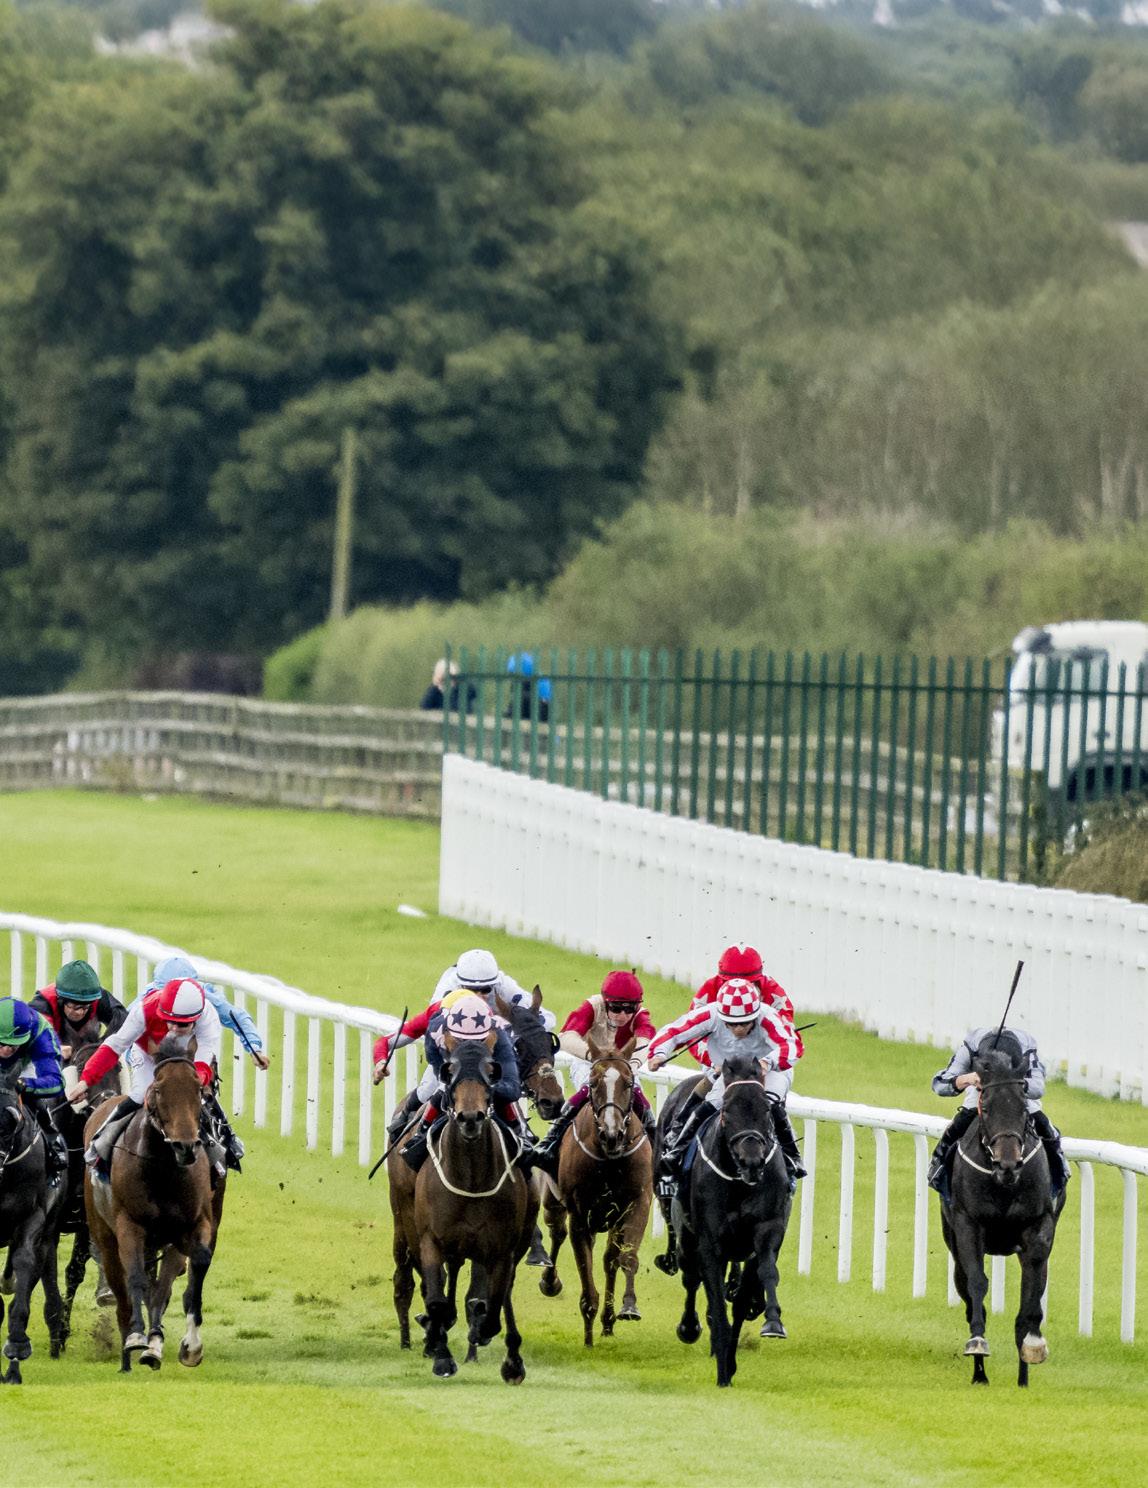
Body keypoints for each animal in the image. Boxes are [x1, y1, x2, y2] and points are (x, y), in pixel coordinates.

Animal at [83, 1034, 225, 1373]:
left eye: (197, 1089)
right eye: (158, 1089)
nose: (185, 1146)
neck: (164, 1168)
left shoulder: (192, 1227)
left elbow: (191, 1272)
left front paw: (188, 1345)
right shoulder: (130, 1226)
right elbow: (134, 1276)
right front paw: (137, 1337)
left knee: (158, 1288)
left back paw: (153, 1344)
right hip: (104, 1234)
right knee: (121, 1290)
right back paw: (127, 1350)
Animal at [410, 1037, 537, 1381]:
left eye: (490, 1076)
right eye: (450, 1073)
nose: (470, 1118)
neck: (471, 1179)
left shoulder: (501, 1248)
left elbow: (493, 1305)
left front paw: (481, 1330)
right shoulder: (431, 1239)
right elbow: (437, 1301)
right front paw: (441, 1355)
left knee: (503, 1293)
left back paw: (511, 1356)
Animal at [537, 1036, 653, 1345]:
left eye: (628, 1082)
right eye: (593, 1082)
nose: (612, 1134)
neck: (609, 1158)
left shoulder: (637, 1204)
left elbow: (626, 1257)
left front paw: (628, 1307)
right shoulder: (580, 1217)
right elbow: (584, 1271)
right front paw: (588, 1336)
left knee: (610, 1260)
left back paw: (608, 1321)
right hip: (553, 1202)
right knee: (557, 1233)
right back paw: (550, 1282)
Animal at [663, 1056, 791, 1387]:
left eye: (767, 1110)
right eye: (726, 1113)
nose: (752, 1161)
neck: (739, 1182)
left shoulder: (767, 1231)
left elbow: (763, 1277)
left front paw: (773, 1321)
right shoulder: (710, 1243)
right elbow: (716, 1301)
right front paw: (722, 1371)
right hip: (686, 1238)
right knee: (691, 1279)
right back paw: (690, 1328)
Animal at [939, 1044, 1066, 1387]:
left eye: (1023, 1107)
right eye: (985, 1104)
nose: (1007, 1164)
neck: (1004, 1184)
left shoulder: (1039, 1225)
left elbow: (1031, 1290)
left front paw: (1033, 1344)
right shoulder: (968, 1224)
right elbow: (977, 1284)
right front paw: (978, 1343)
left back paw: (1023, 1376)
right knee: (968, 1293)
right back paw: (980, 1374)